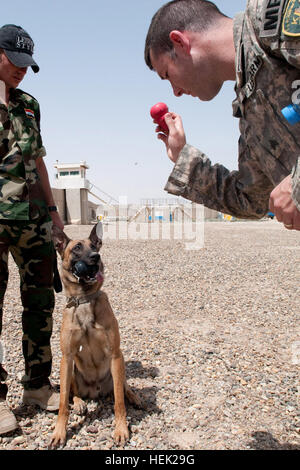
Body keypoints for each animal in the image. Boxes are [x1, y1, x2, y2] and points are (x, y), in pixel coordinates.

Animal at [50, 225, 141, 448]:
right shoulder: (67, 357)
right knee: (72, 392)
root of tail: (96, 392)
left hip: (119, 366)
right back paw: (80, 403)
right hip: (72, 370)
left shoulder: (115, 354)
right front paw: (59, 432)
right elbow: (63, 401)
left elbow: (119, 401)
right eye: (77, 248)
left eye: (94, 246)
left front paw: (121, 429)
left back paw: (134, 397)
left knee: (123, 387)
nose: (95, 257)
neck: (84, 299)